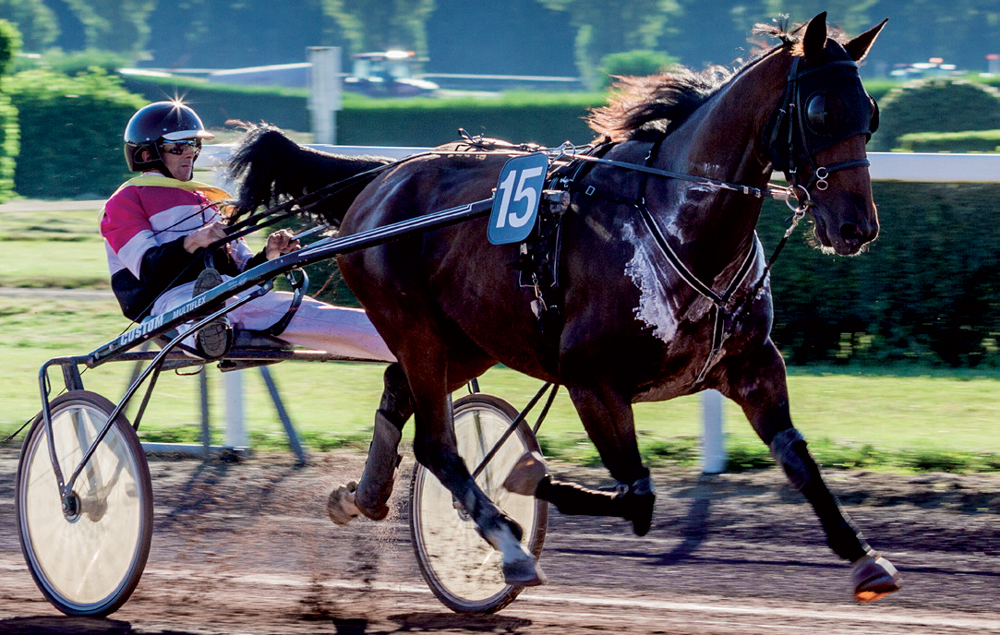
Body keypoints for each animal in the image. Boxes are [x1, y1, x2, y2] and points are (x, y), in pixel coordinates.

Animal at [230, 12, 904, 604]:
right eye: (820, 111)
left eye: (870, 114)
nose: (858, 226)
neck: (674, 221)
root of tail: (380, 177)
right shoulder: (591, 379)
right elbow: (637, 495)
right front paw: (526, 477)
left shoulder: (753, 366)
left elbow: (799, 459)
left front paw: (865, 558)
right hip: (415, 326)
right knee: (438, 445)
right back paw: (508, 545)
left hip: (471, 337)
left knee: (399, 390)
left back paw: (362, 497)